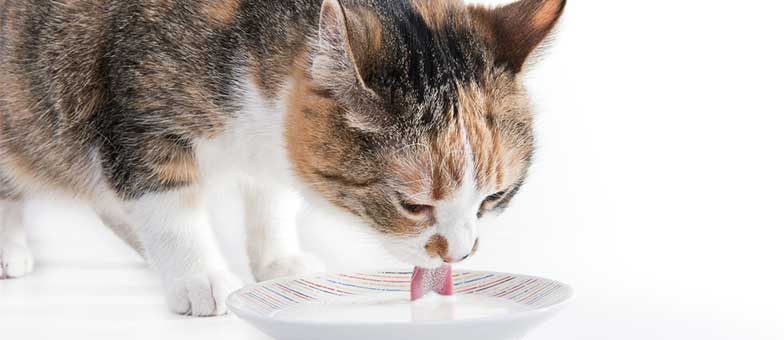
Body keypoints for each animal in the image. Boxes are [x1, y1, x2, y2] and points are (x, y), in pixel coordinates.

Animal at [0, 0, 564, 316]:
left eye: (495, 196)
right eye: (413, 205)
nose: (460, 256)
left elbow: (273, 195)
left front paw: (277, 260)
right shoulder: (138, 113)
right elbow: (167, 202)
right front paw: (199, 276)